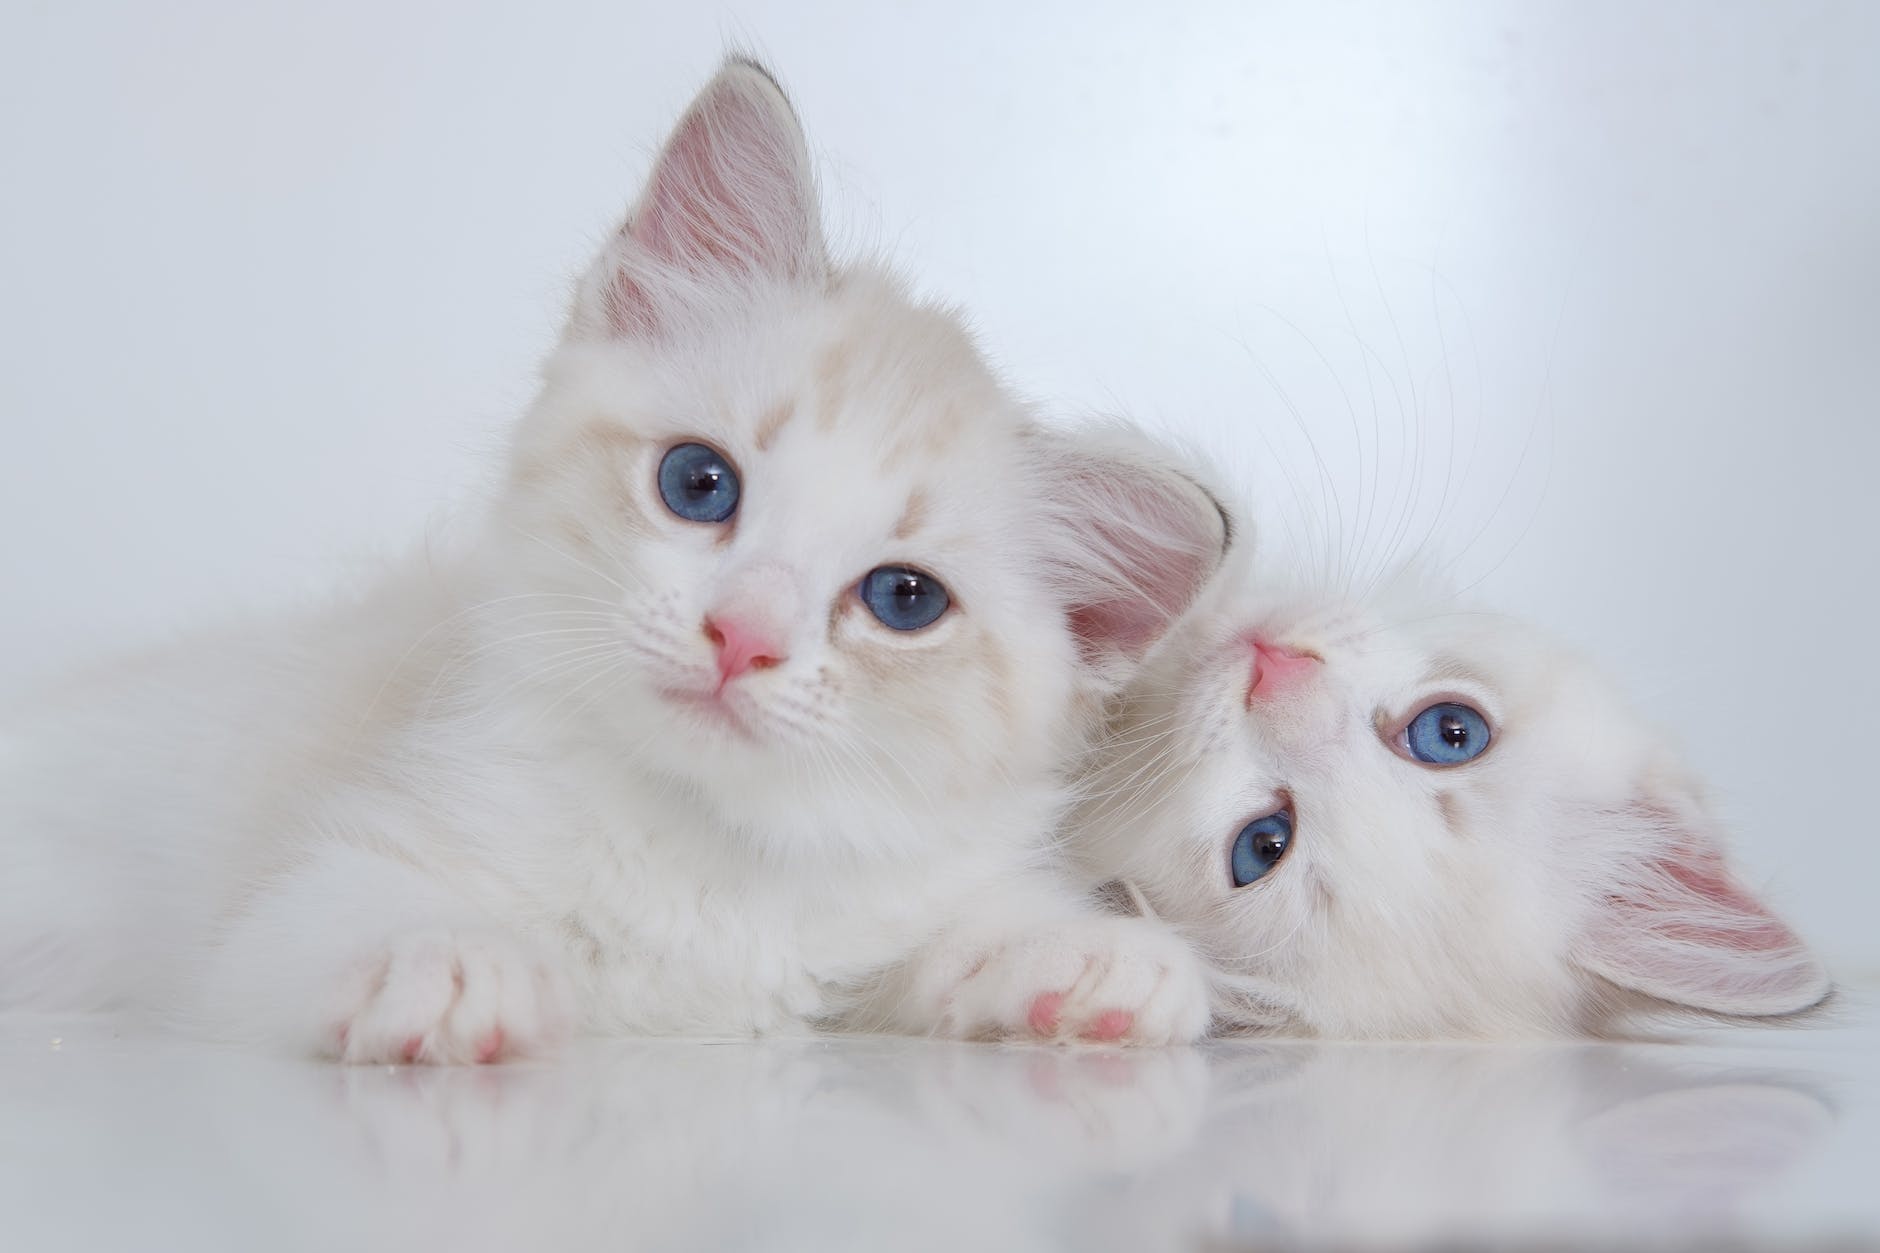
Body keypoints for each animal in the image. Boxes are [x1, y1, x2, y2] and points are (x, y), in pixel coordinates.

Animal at [0, 58, 1225, 1053]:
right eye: (698, 484)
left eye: (903, 598)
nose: (742, 636)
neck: (696, 853)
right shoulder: (288, 895)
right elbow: (334, 918)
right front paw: (445, 965)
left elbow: (929, 955)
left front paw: (1079, 956)